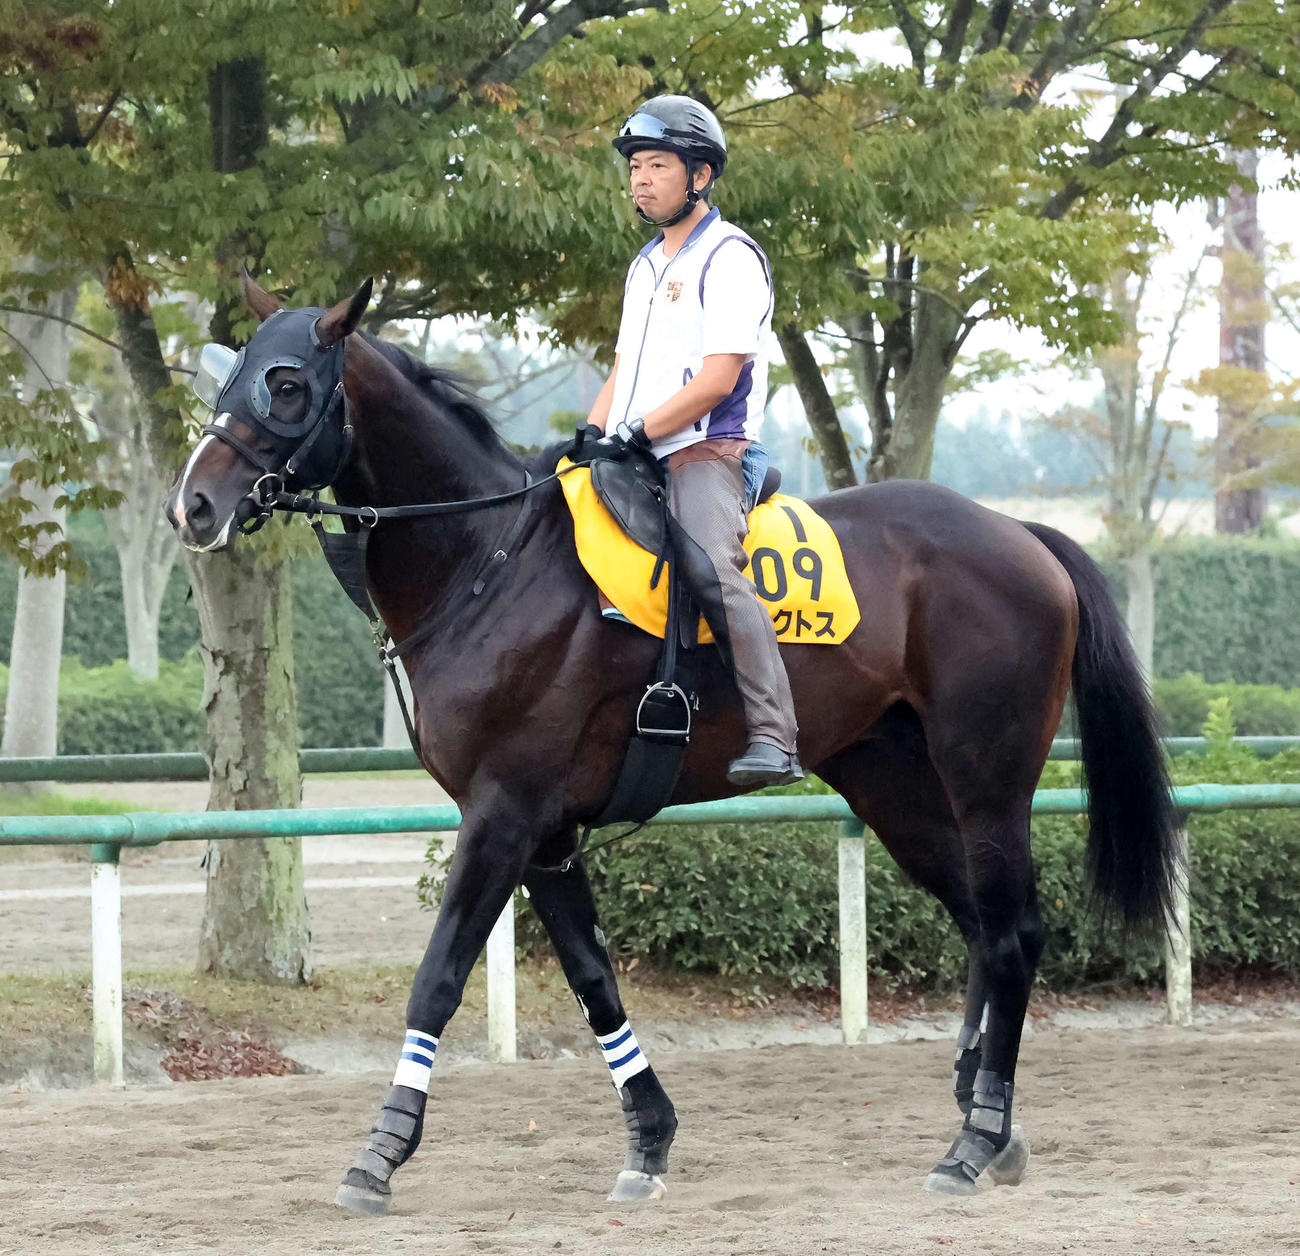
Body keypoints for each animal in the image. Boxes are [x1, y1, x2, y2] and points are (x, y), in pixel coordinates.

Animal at [166, 277, 1180, 1214]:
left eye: (287, 384)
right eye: (232, 370)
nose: (195, 505)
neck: (493, 555)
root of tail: (1022, 533)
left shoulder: (502, 814)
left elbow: (439, 981)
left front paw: (379, 1154)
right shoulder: (546, 832)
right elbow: (595, 982)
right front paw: (648, 1140)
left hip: (986, 779)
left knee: (1010, 933)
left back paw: (974, 1139)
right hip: (895, 788)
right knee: (977, 924)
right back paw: (985, 1118)